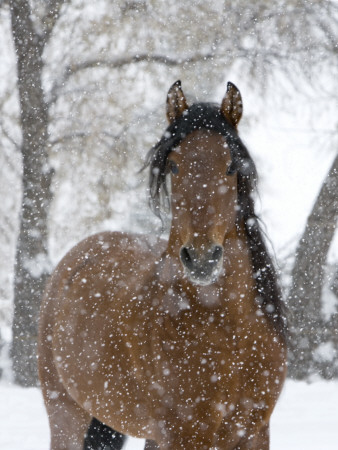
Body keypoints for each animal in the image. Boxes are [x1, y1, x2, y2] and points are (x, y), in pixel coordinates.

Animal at [38, 81, 286, 450]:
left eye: (230, 166)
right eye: (174, 166)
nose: (201, 258)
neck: (228, 332)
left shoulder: (254, 433)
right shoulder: (185, 434)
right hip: (66, 415)